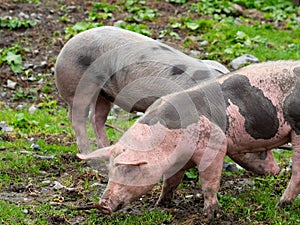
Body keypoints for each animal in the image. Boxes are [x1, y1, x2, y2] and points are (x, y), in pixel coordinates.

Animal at [55, 25, 280, 174]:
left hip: (105, 92)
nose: (275, 170)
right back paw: (90, 158)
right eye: (260, 148)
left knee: (98, 118)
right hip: (80, 84)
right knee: (78, 118)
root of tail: (67, 45)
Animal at [78, 60, 298, 219]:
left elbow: (209, 182)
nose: (102, 205)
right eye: (110, 170)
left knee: (297, 173)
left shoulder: (215, 143)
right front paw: (160, 204)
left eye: (130, 169)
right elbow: (170, 182)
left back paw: (281, 205)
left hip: (298, 130)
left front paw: (211, 214)